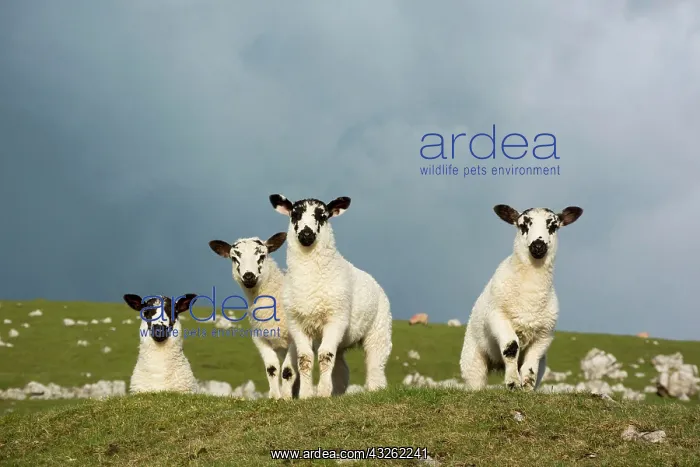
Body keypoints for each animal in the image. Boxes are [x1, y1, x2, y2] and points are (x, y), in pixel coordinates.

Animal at [208, 232, 300, 400]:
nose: (249, 276)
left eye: (262, 255)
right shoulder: (260, 338)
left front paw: (285, 397)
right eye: (234, 258)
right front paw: (275, 397)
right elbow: (272, 368)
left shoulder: (295, 338)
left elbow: (287, 370)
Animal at [269, 194, 393, 399]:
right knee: (341, 367)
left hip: (379, 329)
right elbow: (305, 359)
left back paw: (376, 389)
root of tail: (375, 283)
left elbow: (325, 356)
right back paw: (338, 392)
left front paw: (323, 393)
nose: (306, 234)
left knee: (376, 362)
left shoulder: (336, 318)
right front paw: (306, 395)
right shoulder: (297, 323)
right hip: (342, 340)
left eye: (323, 216)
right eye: (294, 215)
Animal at [459, 204, 583, 391]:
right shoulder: (498, 318)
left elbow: (532, 362)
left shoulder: (545, 333)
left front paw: (526, 386)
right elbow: (511, 347)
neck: (530, 296)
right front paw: (512, 383)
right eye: (523, 225)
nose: (538, 246)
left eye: (553, 226)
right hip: (473, 359)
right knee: (476, 380)